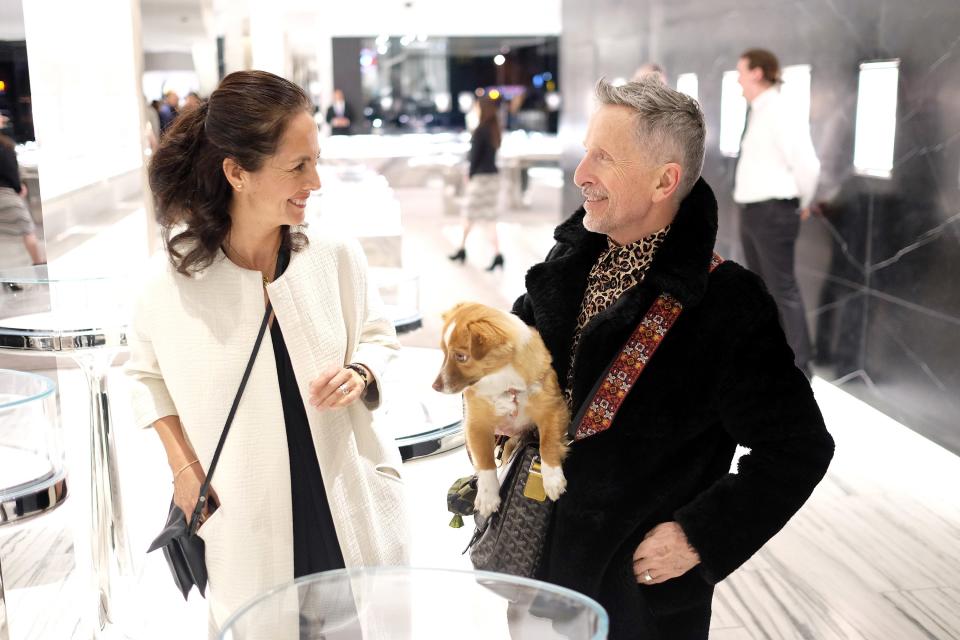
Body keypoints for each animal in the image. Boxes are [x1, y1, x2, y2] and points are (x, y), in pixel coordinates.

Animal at [434, 302, 568, 516]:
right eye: (444, 353)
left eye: (461, 356)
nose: (435, 386)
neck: (502, 381)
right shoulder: (476, 423)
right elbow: (485, 460)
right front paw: (487, 496)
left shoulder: (553, 408)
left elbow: (548, 442)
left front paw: (552, 478)